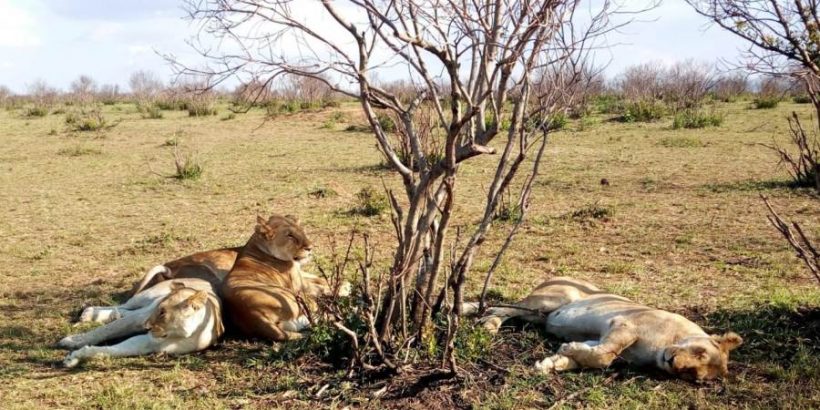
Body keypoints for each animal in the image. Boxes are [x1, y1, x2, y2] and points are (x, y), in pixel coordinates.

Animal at [59, 278, 223, 368]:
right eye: (159, 310)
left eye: (162, 313)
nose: (147, 327)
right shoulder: (140, 318)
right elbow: (105, 331)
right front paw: (73, 341)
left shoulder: (149, 344)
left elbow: (112, 350)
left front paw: (75, 357)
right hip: (145, 298)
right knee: (124, 305)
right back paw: (88, 313)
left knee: (123, 310)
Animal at [221, 213, 340, 342]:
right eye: (290, 236)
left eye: (301, 231)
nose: (310, 248)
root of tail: (251, 313)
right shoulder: (297, 284)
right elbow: (318, 287)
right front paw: (341, 288)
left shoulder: (300, 275)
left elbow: (318, 279)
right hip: (292, 298)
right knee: (315, 311)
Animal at [468, 276, 744, 382]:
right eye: (700, 352)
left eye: (692, 375)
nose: (673, 363)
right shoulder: (624, 325)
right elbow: (606, 356)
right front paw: (565, 349)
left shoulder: (601, 339)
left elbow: (591, 357)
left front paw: (552, 362)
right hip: (550, 301)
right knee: (498, 309)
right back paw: (488, 327)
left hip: (538, 315)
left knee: (501, 310)